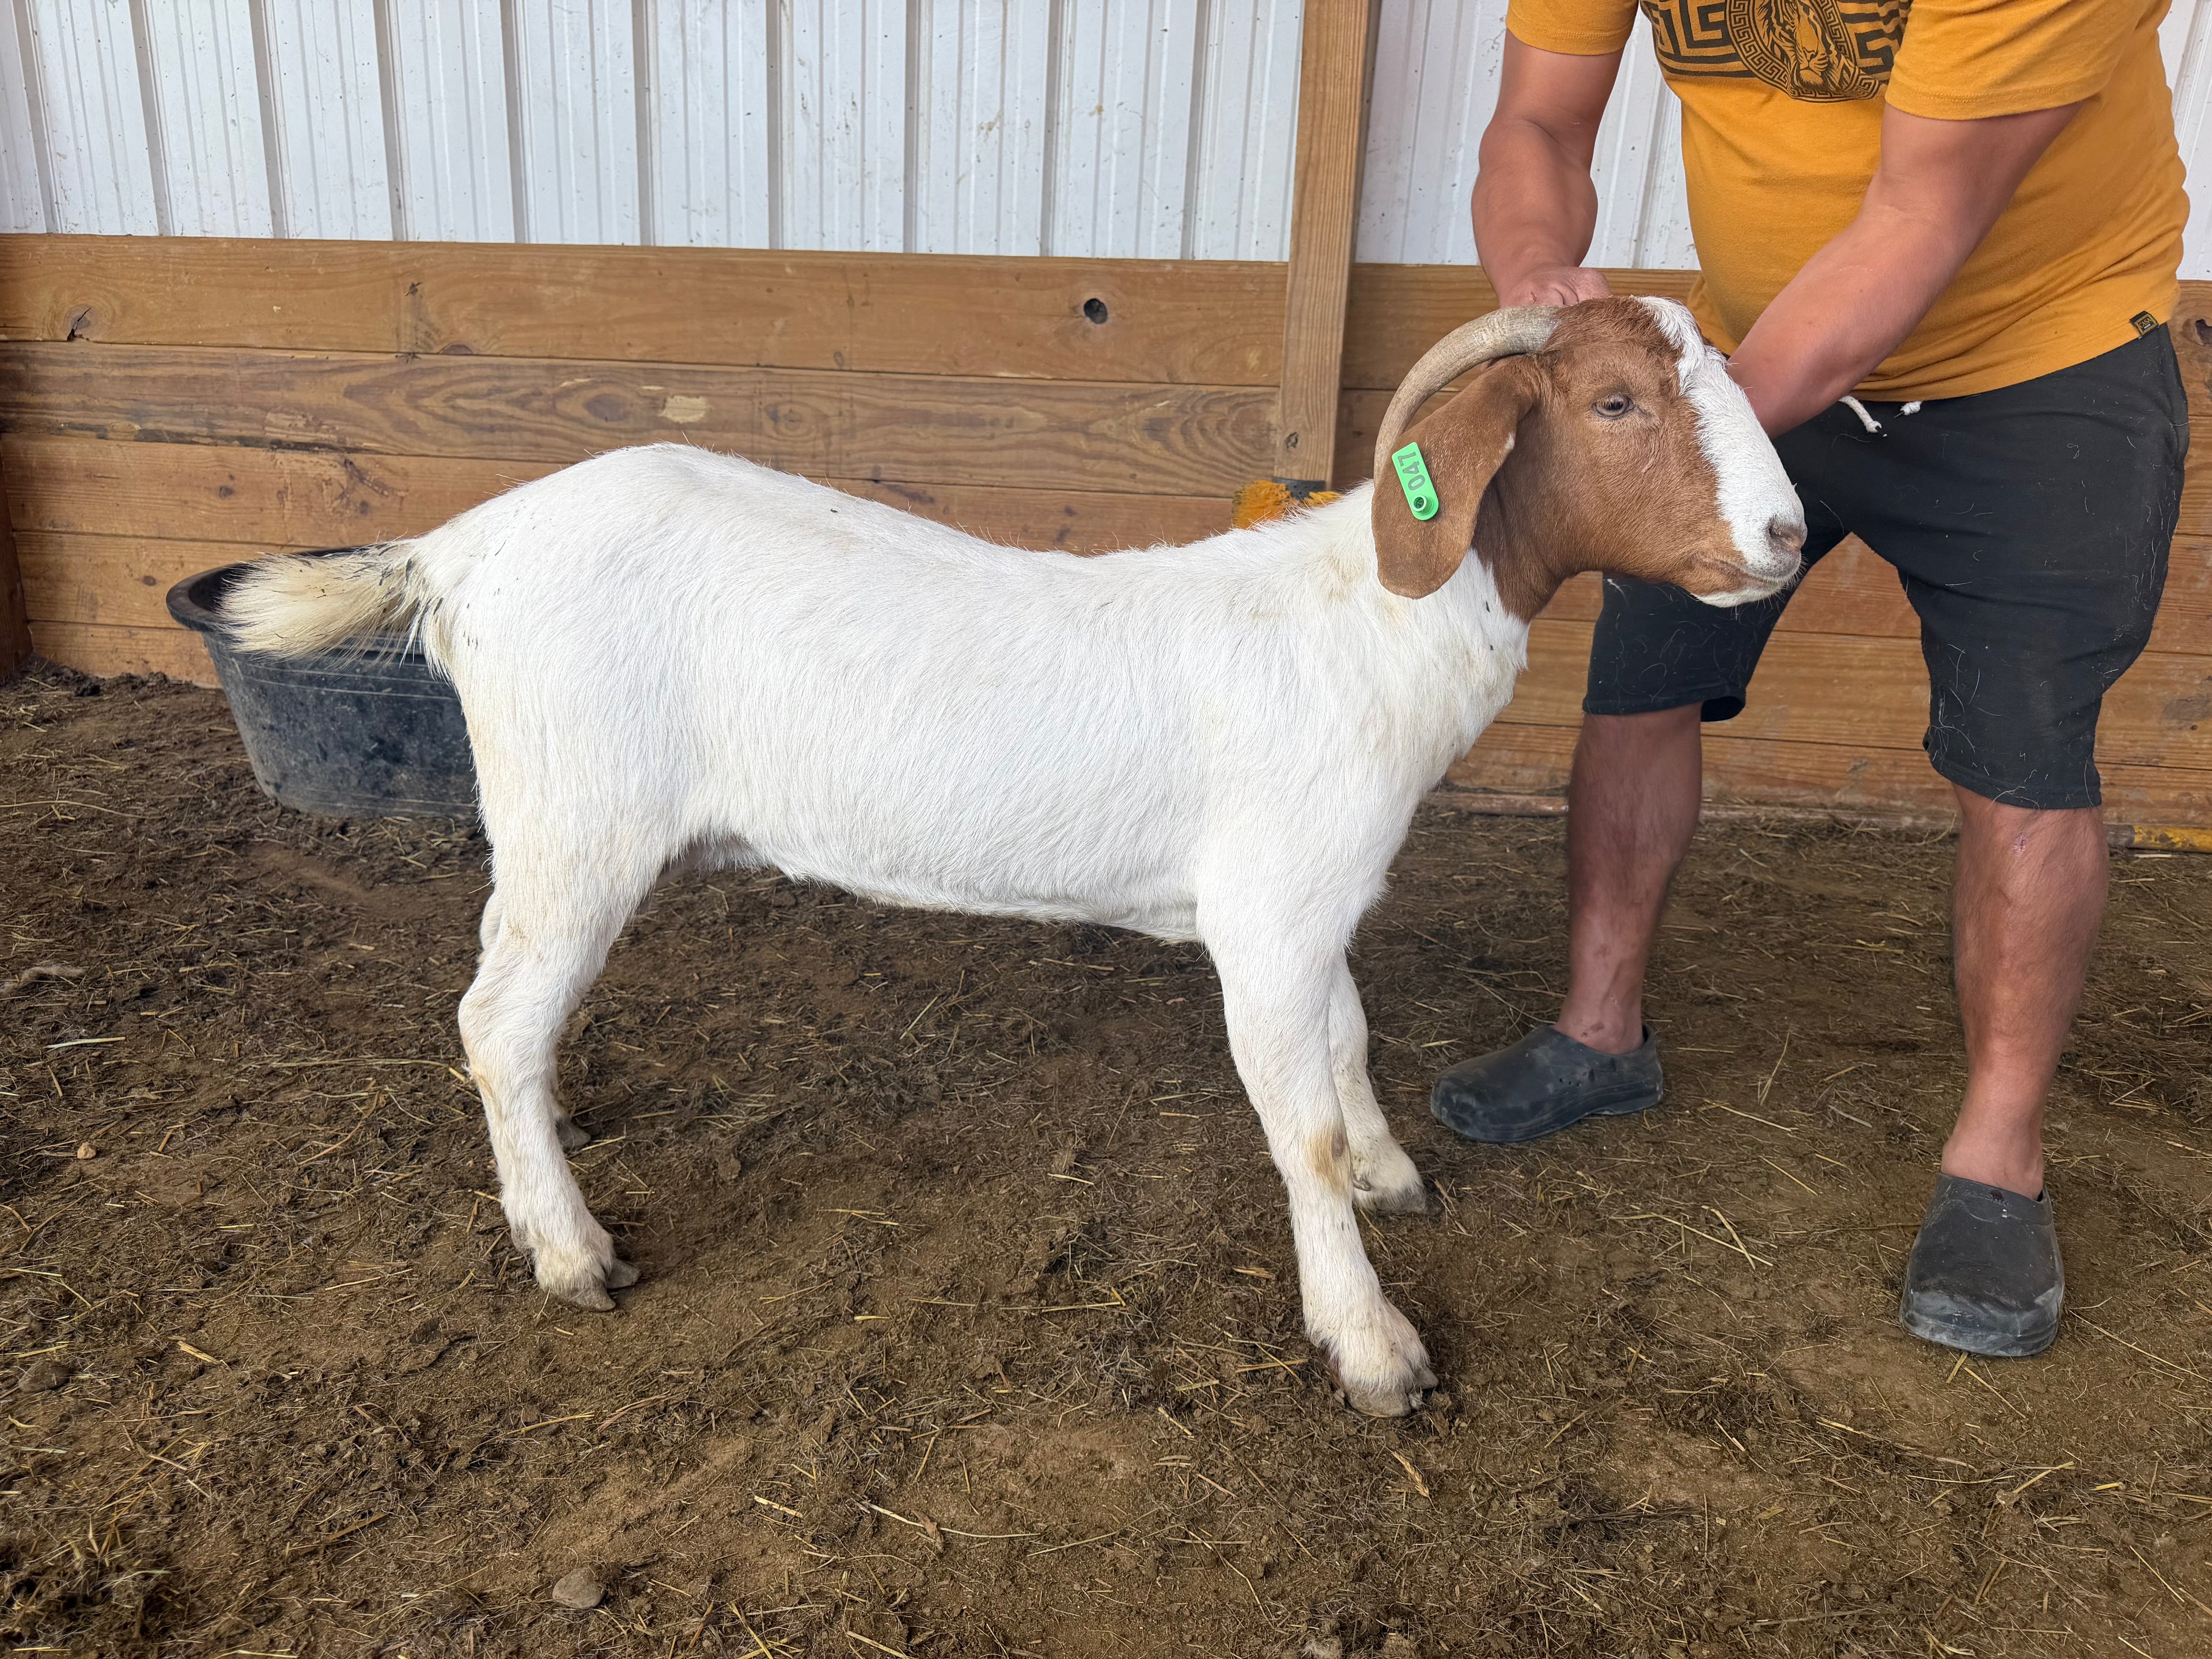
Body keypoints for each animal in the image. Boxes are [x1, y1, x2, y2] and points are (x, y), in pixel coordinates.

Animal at [216, 297, 1804, 1415]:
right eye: (1612, 401)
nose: (1788, 534)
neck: (1366, 620)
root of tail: (461, 547)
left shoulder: (1314, 899)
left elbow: (1349, 1047)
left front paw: (1386, 1173)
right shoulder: (1268, 911)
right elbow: (1293, 1124)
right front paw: (1371, 1343)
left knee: (517, 1028)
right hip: (573, 815)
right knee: (495, 1019)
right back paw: (568, 1251)